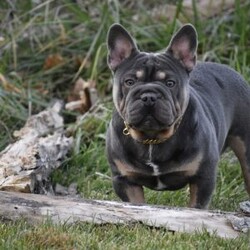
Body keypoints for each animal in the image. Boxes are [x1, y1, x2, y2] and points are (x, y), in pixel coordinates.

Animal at [105, 23, 250, 208]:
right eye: (129, 82)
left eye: (170, 83)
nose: (149, 96)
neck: (152, 139)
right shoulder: (125, 181)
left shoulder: (203, 177)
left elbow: (196, 207)